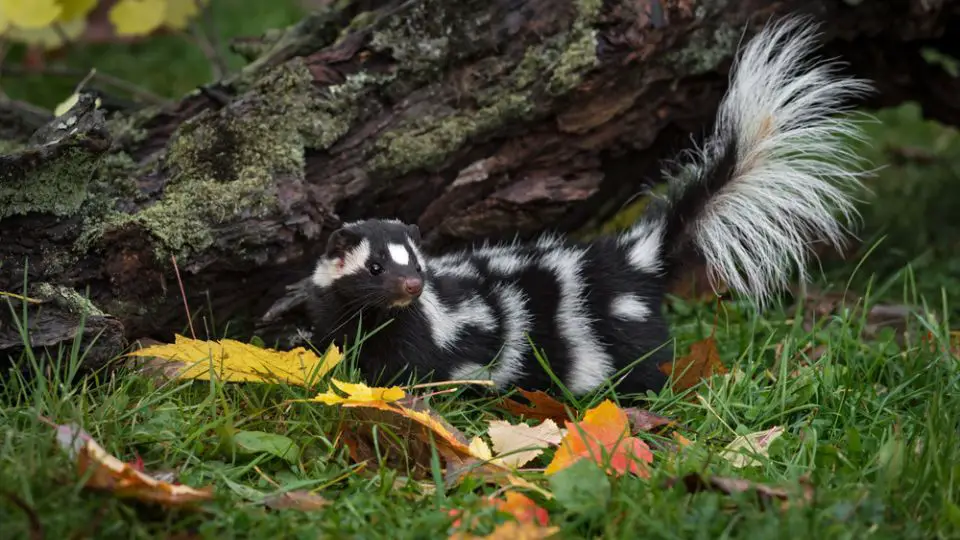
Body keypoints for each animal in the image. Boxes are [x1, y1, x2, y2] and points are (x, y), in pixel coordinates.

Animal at [306, 17, 872, 396]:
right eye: (375, 268)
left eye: (417, 268)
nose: (411, 287)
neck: (383, 317)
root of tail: (635, 254)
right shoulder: (343, 318)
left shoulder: (430, 336)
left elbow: (418, 373)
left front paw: (397, 395)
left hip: (619, 330)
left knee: (642, 366)